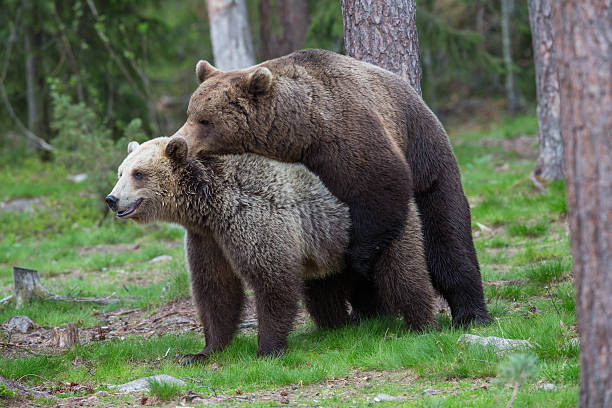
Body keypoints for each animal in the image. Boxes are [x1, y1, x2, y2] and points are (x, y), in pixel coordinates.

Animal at [107, 136, 438, 364]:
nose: (112, 199)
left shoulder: (252, 218)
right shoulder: (207, 238)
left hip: (376, 225)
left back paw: (421, 324)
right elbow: (215, 288)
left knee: (402, 271)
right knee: (324, 287)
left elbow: (271, 279)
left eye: (139, 173)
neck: (209, 203)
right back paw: (337, 324)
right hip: (326, 245)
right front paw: (202, 351)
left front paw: (266, 349)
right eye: (121, 172)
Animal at [172, 48, 492, 328]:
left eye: (205, 120)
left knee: (447, 236)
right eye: (189, 112)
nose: (178, 143)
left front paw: (359, 260)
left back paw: (472, 314)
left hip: (426, 157)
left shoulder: (343, 138)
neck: (294, 134)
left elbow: (381, 186)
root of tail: (414, 95)